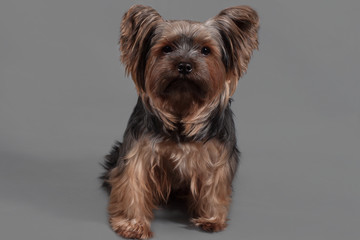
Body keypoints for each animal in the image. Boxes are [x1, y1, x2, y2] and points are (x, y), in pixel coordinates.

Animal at [101, 4, 258, 239]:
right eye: (167, 48)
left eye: (205, 50)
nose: (184, 65)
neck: (182, 106)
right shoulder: (138, 152)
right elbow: (133, 184)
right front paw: (133, 225)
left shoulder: (217, 154)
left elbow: (214, 185)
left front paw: (211, 219)